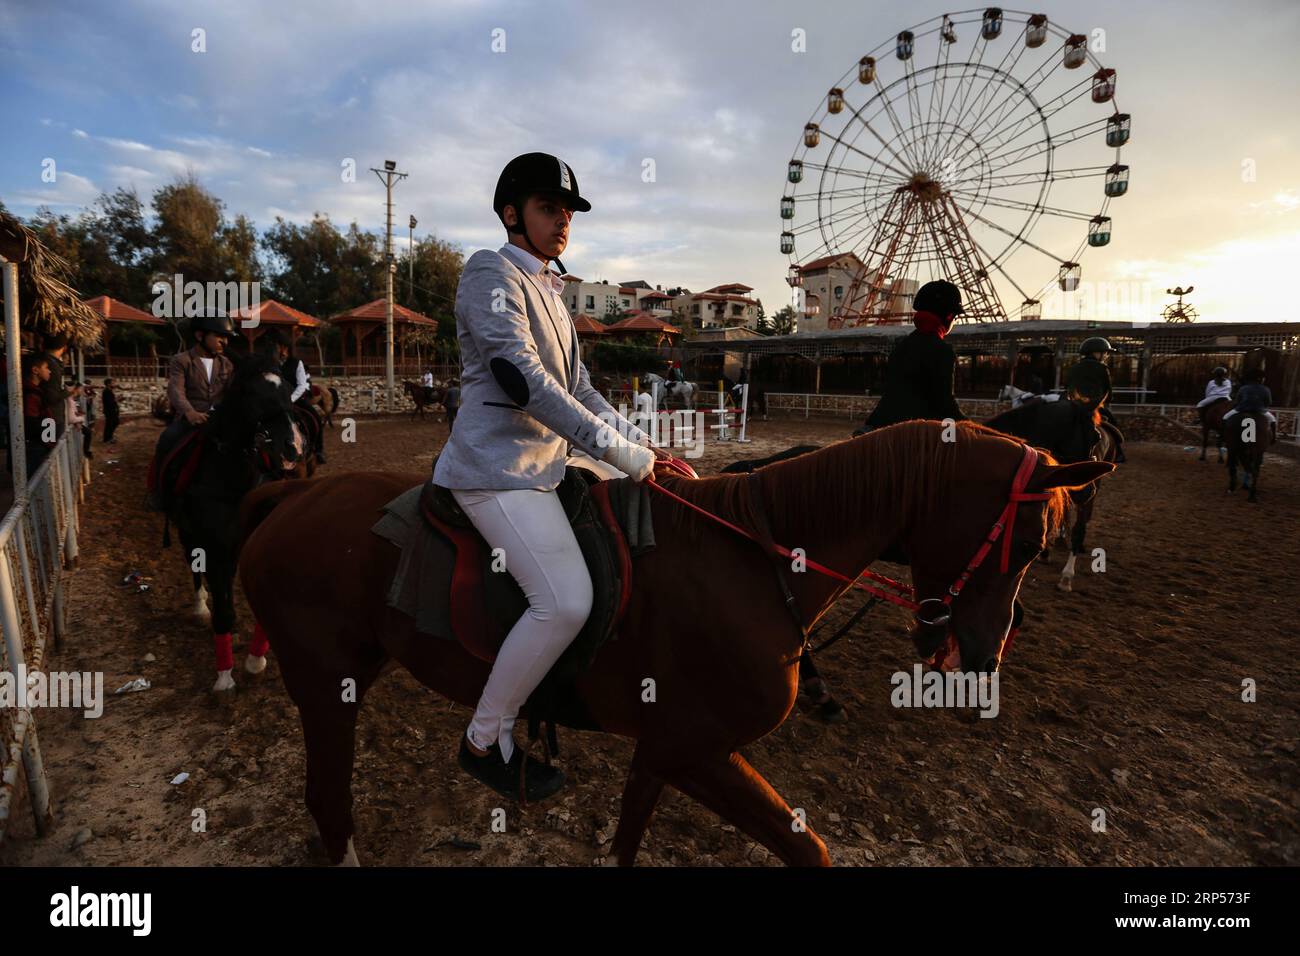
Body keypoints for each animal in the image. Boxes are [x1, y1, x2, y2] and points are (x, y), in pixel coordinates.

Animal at [161, 356, 301, 691]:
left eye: (289, 389)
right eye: (253, 394)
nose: (292, 447)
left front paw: (255, 659)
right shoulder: (213, 548)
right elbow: (221, 609)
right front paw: (225, 676)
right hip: (188, 534)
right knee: (195, 567)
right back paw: (200, 606)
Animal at [236, 421, 1107, 868]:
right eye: (1029, 541)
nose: (983, 656)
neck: (755, 561)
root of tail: (294, 494)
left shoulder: (663, 752)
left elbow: (628, 842)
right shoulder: (695, 749)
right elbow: (809, 851)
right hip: (325, 688)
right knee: (329, 803)